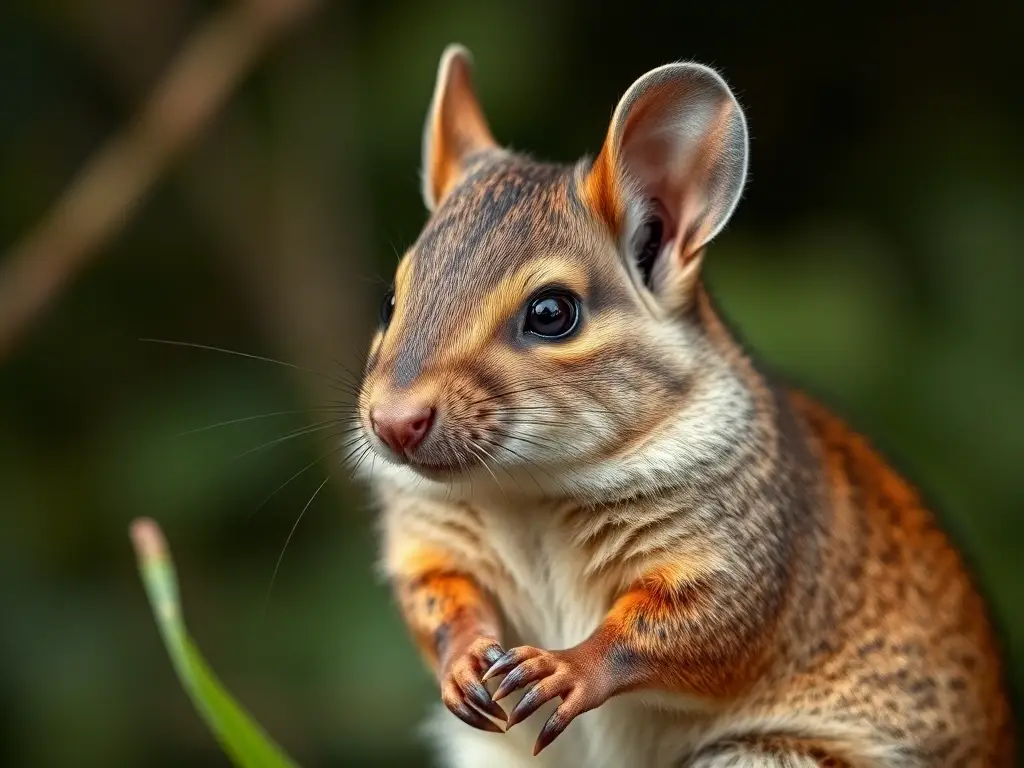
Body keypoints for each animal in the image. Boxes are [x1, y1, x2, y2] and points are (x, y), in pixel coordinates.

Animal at [353, 44, 1015, 767]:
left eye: (553, 313)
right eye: (390, 300)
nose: (393, 422)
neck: (526, 492)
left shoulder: (741, 550)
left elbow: (690, 628)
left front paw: (569, 668)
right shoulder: (433, 541)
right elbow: (437, 601)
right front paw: (463, 659)